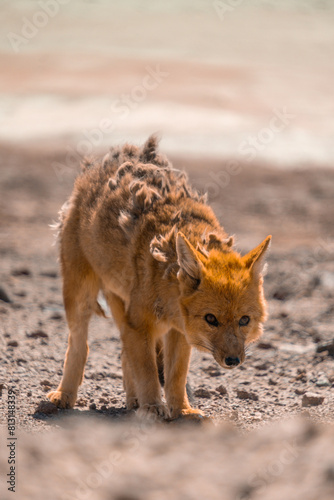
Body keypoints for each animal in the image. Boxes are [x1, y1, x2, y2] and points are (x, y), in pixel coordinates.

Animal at [47, 135, 272, 420]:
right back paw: (65, 394)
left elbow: (176, 374)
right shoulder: (140, 324)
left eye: (244, 320)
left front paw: (181, 409)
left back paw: (133, 400)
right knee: (80, 345)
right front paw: (154, 406)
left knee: (124, 352)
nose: (233, 361)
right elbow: (148, 370)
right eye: (211, 319)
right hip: (80, 298)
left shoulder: (177, 332)